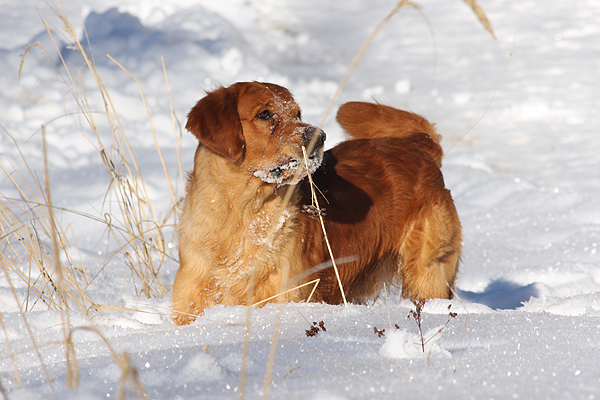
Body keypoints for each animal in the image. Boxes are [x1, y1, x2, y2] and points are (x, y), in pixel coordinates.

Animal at [171, 82, 461, 325]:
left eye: (297, 113)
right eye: (265, 114)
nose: (318, 135)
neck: (242, 212)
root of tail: (418, 146)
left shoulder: (289, 292)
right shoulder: (191, 299)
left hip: (427, 272)